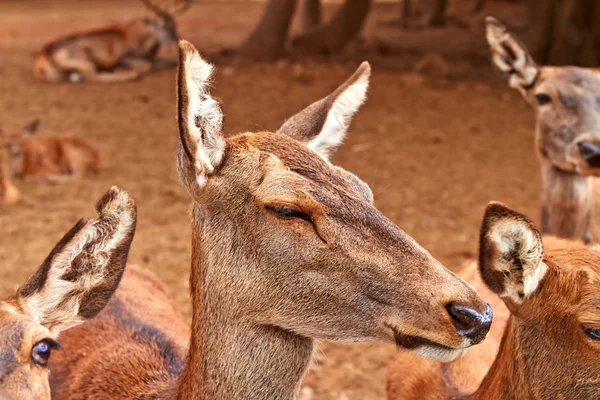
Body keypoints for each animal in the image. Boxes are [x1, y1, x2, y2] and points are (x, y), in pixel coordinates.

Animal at [32, 0, 190, 82]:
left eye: (175, 25)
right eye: (163, 26)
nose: (177, 41)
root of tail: (42, 57)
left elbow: (168, 62)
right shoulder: (123, 57)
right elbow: (145, 65)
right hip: (85, 58)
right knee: (91, 76)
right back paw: (131, 74)